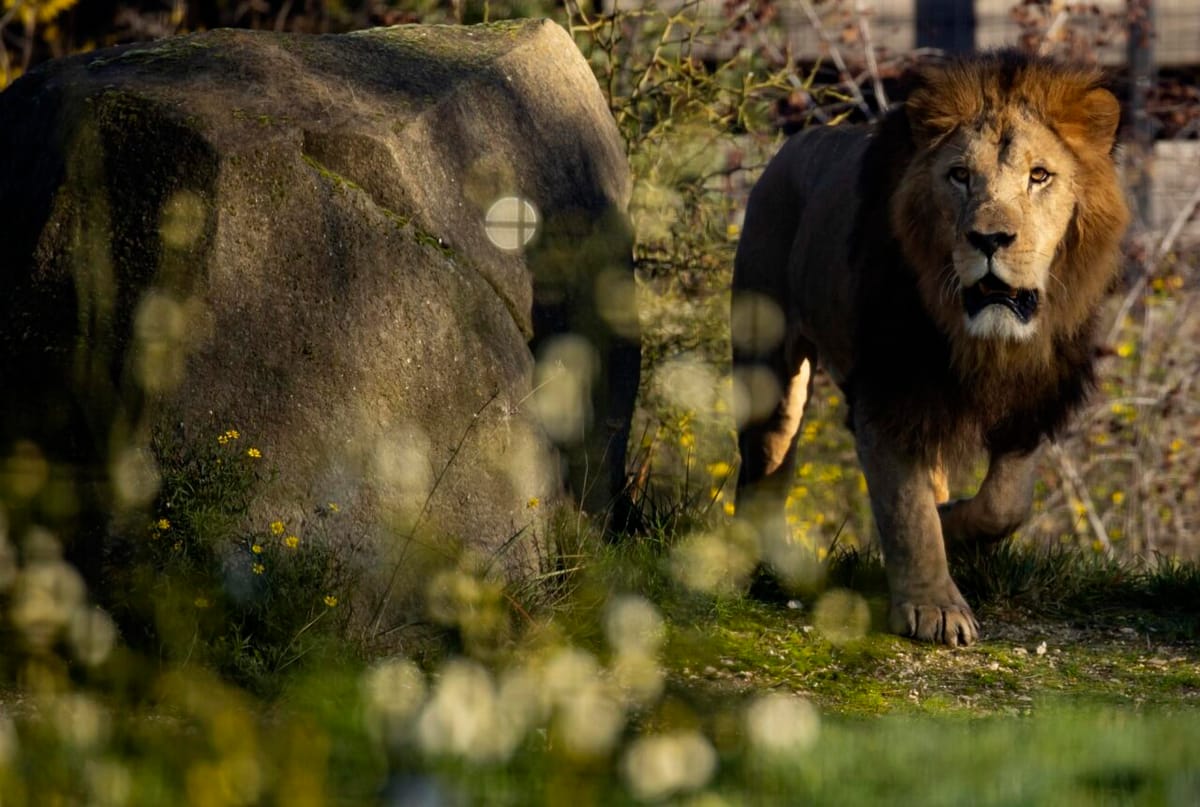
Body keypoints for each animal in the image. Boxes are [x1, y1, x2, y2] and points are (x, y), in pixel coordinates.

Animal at [732, 51, 1129, 646]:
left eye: (1039, 176)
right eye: (960, 176)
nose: (989, 240)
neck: (982, 338)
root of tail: (795, 143)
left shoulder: (1033, 396)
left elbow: (1005, 502)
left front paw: (953, 526)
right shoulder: (888, 392)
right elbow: (907, 511)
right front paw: (934, 608)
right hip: (770, 370)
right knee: (766, 461)